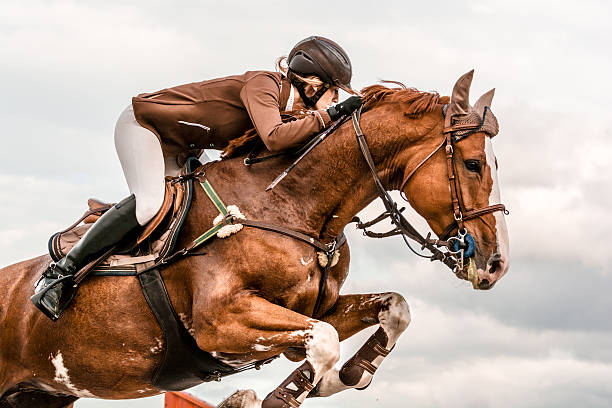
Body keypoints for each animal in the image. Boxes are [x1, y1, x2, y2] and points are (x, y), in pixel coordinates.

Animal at [0, 68, 510, 406]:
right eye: (472, 164)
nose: (496, 265)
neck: (291, 205)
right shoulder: (219, 319)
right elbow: (325, 340)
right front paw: (300, 389)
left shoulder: (314, 308)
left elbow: (393, 309)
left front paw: (344, 375)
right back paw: (52, 286)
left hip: (41, 395)